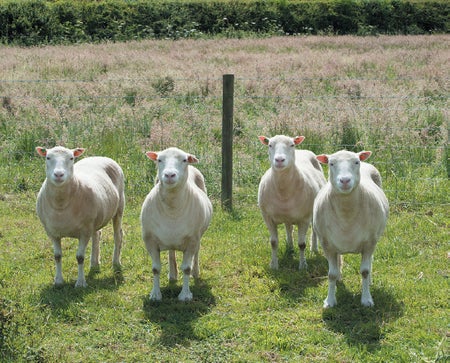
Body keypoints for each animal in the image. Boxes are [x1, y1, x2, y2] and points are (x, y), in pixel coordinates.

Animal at [35, 146, 125, 288]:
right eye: (48, 157)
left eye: (71, 158)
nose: (59, 175)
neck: (61, 205)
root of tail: (100, 157)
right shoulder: (52, 232)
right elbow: (57, 256)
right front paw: (58, 281)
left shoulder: (84, 231)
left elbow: (80, 257)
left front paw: (81, 283)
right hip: (95, 218)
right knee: (97, 235)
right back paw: (94, 264)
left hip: (119, 207)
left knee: (118, 235)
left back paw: (116, 263)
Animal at [140, 146, 212, 302]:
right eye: (159, 160)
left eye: (184, 160)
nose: (169, 175)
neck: (172, 208)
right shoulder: (149, 240)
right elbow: (155, 269)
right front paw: (155, 294)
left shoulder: (192, 239)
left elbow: (186, 268)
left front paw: (185, 295)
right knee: (171, 251)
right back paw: (172, 275)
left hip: (198, 236)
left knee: (196, 254)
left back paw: (195, 273)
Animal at [258, 136, 326, 270]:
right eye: (270, 145)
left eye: (292, 145)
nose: (279, 160)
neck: (283, 190)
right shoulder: (267, 217)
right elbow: (273, 242)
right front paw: (274, 265)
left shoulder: (304, 218)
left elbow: (302, 244)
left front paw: (303, 265)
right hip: (287, 216)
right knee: (288, 228)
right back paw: (289, 247)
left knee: (314, 230)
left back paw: (314, 248)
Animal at [312, 149, 390, 308]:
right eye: (331, 163)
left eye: (356, 162)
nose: (345, 181)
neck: (346, 213)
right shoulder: (327, 244)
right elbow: (331, 274)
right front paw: (330, 300)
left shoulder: (369, 243)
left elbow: (365, 271)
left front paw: (366, 299)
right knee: (337, 263)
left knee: (370, 262)